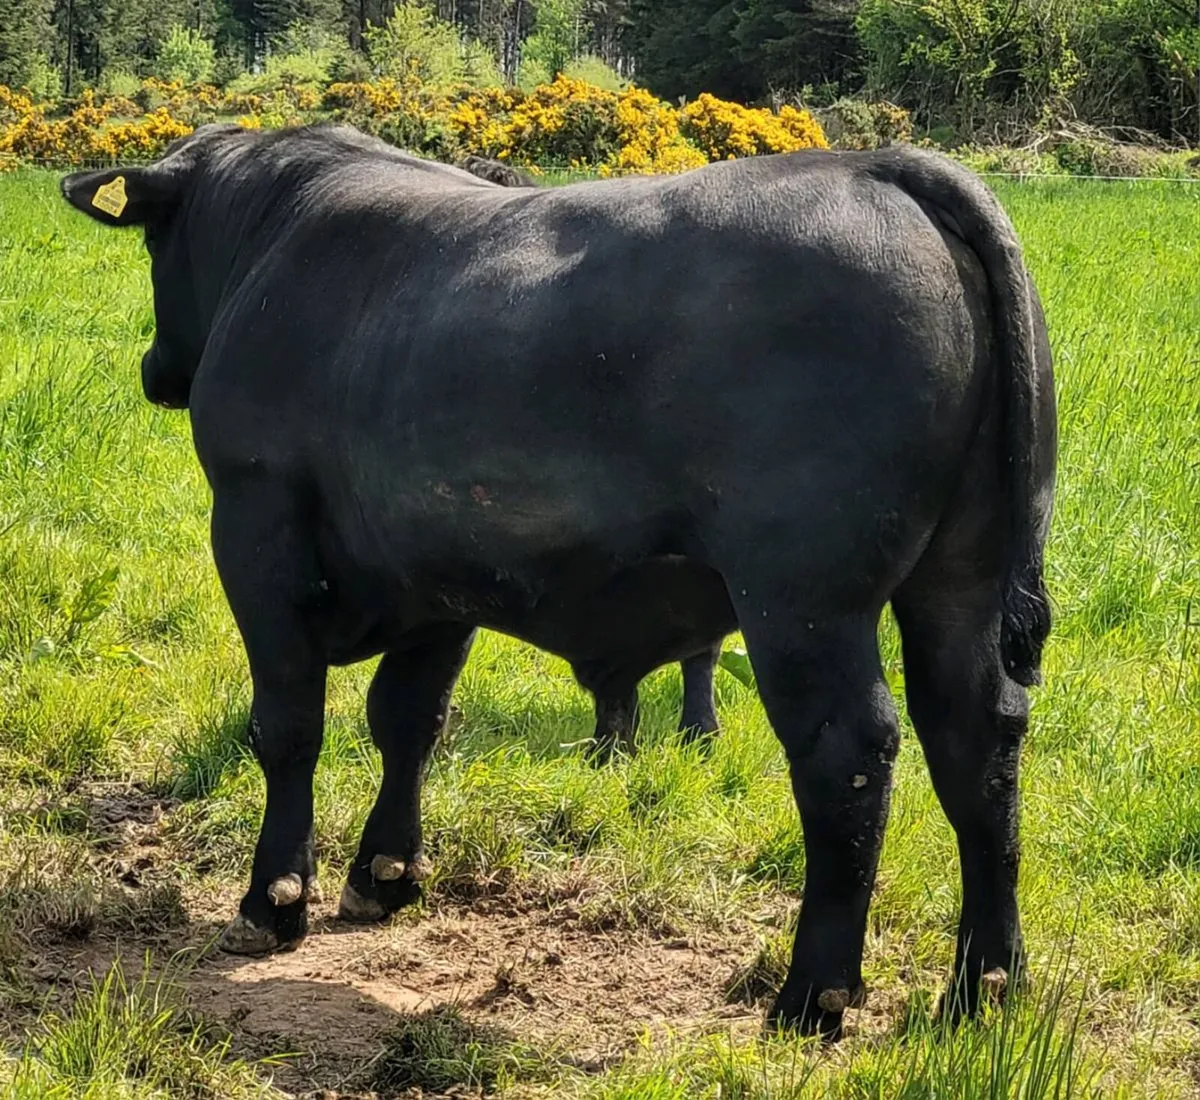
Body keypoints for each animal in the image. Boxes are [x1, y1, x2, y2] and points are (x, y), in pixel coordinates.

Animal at [61, 123, 1055, 1038]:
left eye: (153, 244)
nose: (155, 370)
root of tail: (882, 164)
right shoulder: (438, 563)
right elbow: (409, 720)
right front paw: (386, 874)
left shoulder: (256, 523)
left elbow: (288, 725)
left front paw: (274, 900)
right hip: (959, 580)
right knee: (977, 740)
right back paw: (984, 987)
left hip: (803, 599)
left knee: (848, 753)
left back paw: (815, 994)